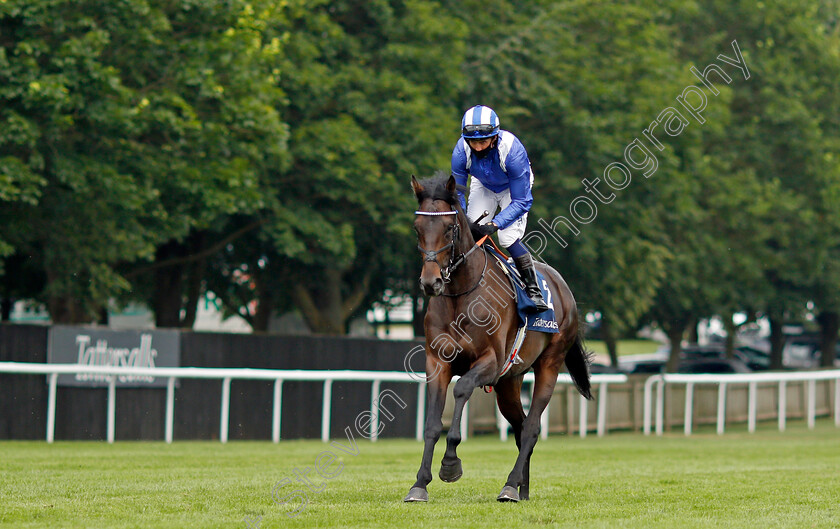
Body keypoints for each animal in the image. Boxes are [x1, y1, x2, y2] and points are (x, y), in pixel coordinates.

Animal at [402, 174, 592, 504]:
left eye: (449, 228)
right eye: (417, 227)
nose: (431, 282)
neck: (460, 296)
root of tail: (562, 286)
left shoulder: (490, 361)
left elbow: (462, 389)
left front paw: (450, 464)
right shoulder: (437, 362)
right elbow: (431, 424)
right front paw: (419, 484)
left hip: (549, 364)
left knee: (531, 427)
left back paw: (510, 486)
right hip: (509, 382)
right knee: (520, 424)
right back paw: (522, 489)